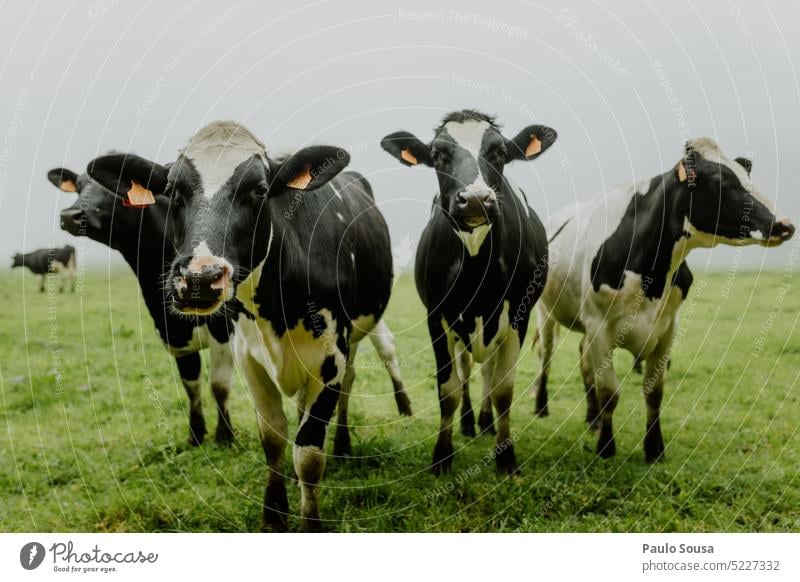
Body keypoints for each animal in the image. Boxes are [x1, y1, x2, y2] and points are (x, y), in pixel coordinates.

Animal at [86, 122, 404, 532]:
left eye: (259, 190)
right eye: (173, 192)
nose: (200, 278)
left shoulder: (331, 356)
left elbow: (309, 451)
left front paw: (309, 520)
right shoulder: (249, 358)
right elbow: (273, 438)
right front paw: (274, 513)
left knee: (354, 379)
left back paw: (345, 445)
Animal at [382, 109, 556, 474]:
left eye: (499, 152)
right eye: (437, 155)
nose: (476, 199)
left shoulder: (518, 317)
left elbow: (503, 387)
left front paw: (506, 456)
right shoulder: (437, 316)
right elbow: (448, 387)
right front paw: (442, 454)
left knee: (488, 371)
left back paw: (487, 422)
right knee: (465, 370)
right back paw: (467, 422)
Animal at [536, 139, 792, 464]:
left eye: (747, 176)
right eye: (722, 182)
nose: (785, 224)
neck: (652, 273)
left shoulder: (667, 329)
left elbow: (654, 392)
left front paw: (654, 448)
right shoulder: (599, 327)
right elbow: (610, 393)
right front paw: (606, 448)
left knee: (583, 361)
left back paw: (592, 419)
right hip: (545, 313)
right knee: (546, 356)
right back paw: (542, 407)